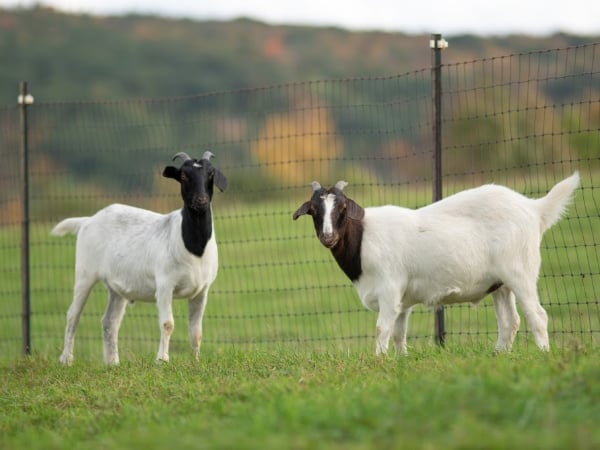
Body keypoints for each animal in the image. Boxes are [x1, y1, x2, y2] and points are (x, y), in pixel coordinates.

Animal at [52, 151, 227, 366]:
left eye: (210, 173)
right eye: (184, 175)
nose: (201, 200)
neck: (194, 248)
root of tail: (88, 220)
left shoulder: (201, 291)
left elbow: (196, 331)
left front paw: (195, 362)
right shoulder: (164, 285)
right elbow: (167, 324)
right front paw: (162, 360)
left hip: (116, 288)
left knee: (109, 322)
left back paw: (113, 363)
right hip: (85, 274)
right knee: (72, 315)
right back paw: (66, 360)